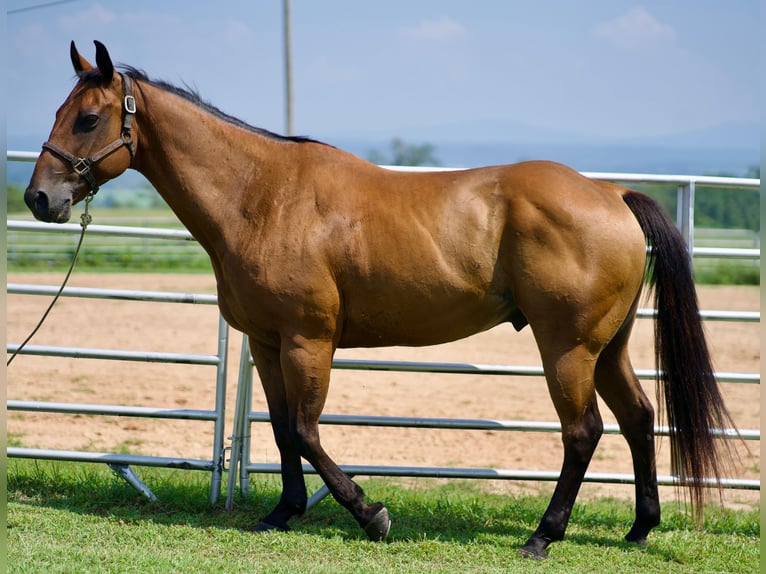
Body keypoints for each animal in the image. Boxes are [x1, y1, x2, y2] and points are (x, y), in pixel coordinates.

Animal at [24, 41, 737, 559]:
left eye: (88, 118)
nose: (39, 198)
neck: (262, 195)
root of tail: (611, 193)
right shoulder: (268, 342)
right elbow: (281, 428)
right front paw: (282, 512)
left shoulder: (310, 340)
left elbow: (307, 430)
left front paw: (372, 514)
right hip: (607, 346)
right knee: (639, 418)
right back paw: (639, 529)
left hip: (567, 348)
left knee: (583, 431)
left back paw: (543, 535)